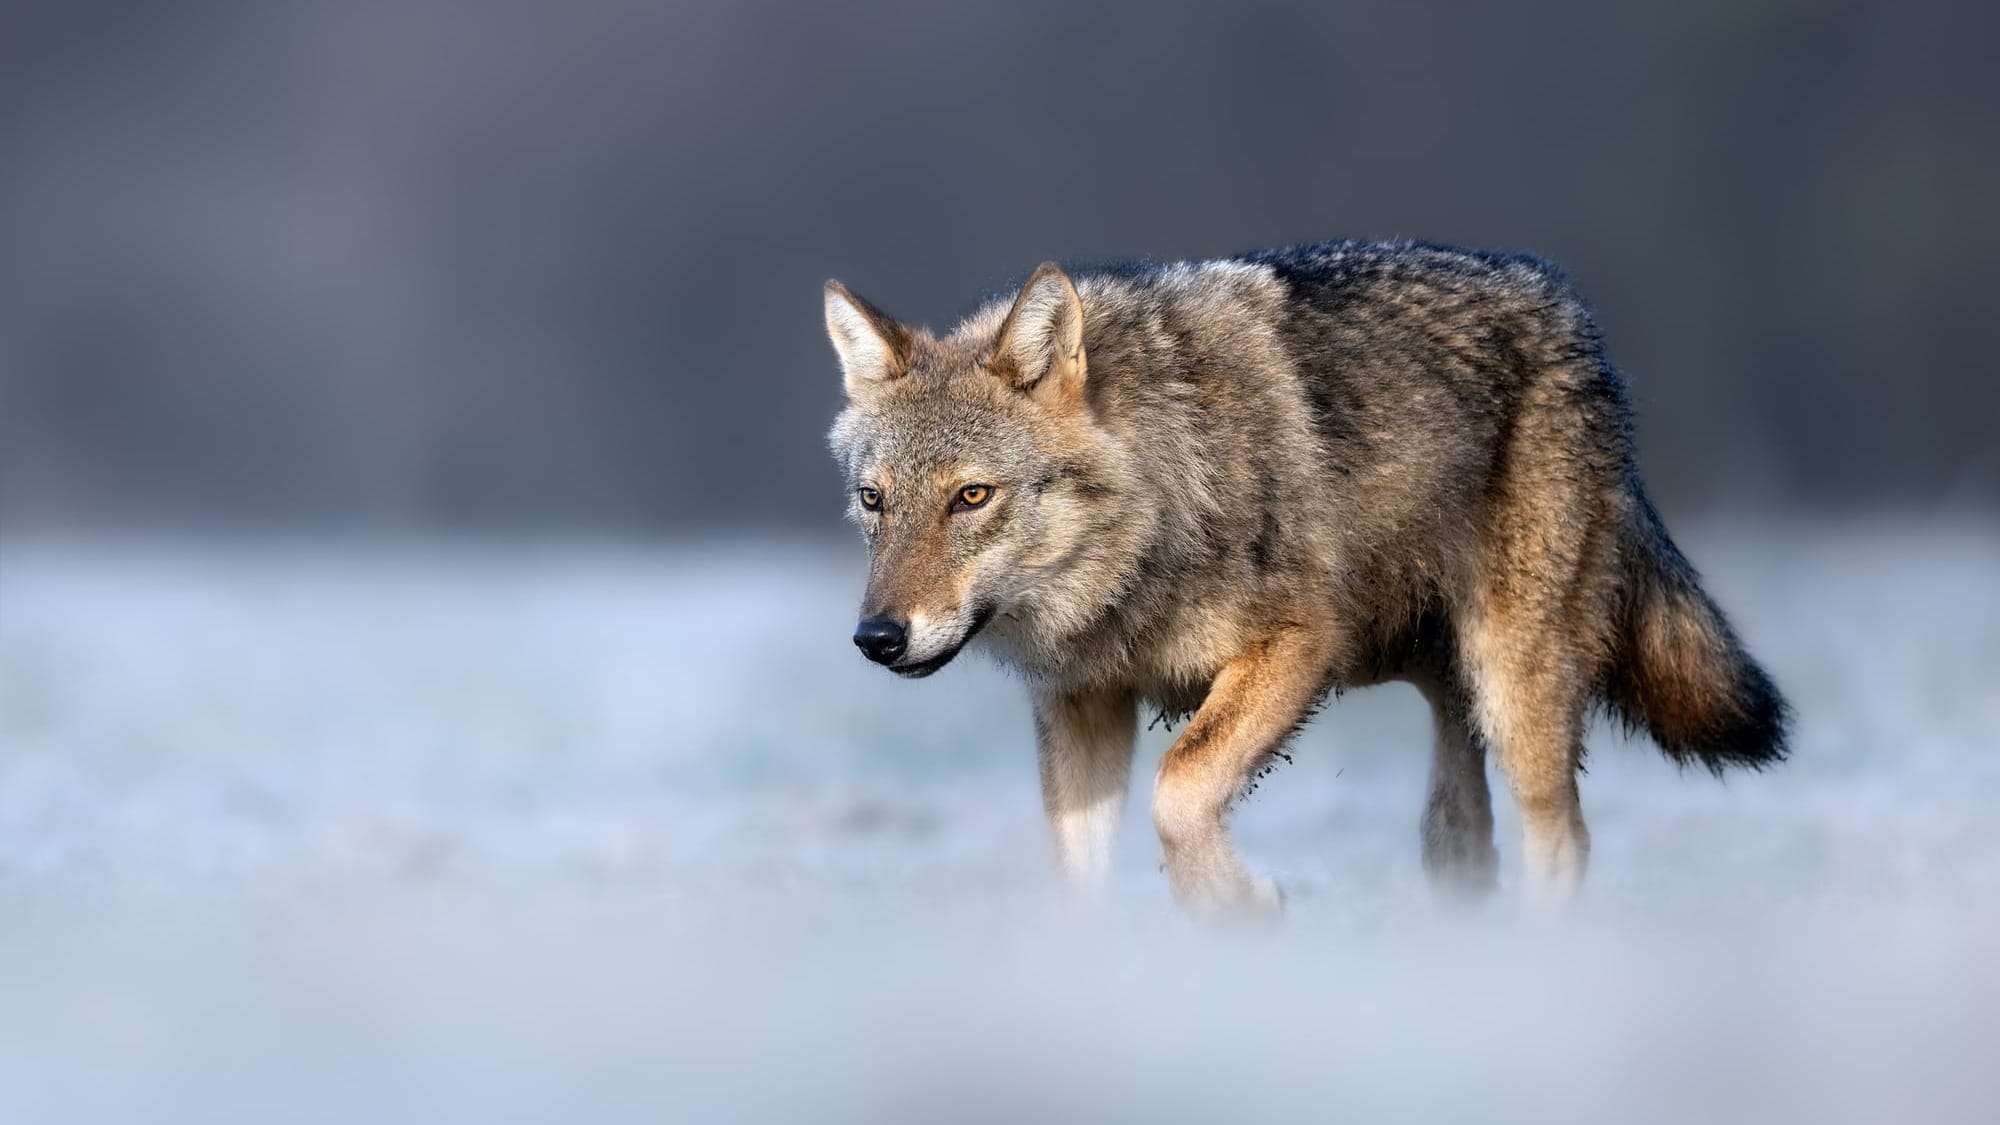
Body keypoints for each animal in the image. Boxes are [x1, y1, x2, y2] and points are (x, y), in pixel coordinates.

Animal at [825, 239, 1788, 918]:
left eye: (971, 496)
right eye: (875, 500)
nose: (876, 638)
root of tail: (1569, 308)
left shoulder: (1298, 645)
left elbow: (1180, 787)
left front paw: (1237, 905)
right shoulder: (1082, 706)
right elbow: (1075, 885)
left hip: (1513, 686)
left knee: (1564, 845)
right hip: (1440, 684)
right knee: (1462, 846)